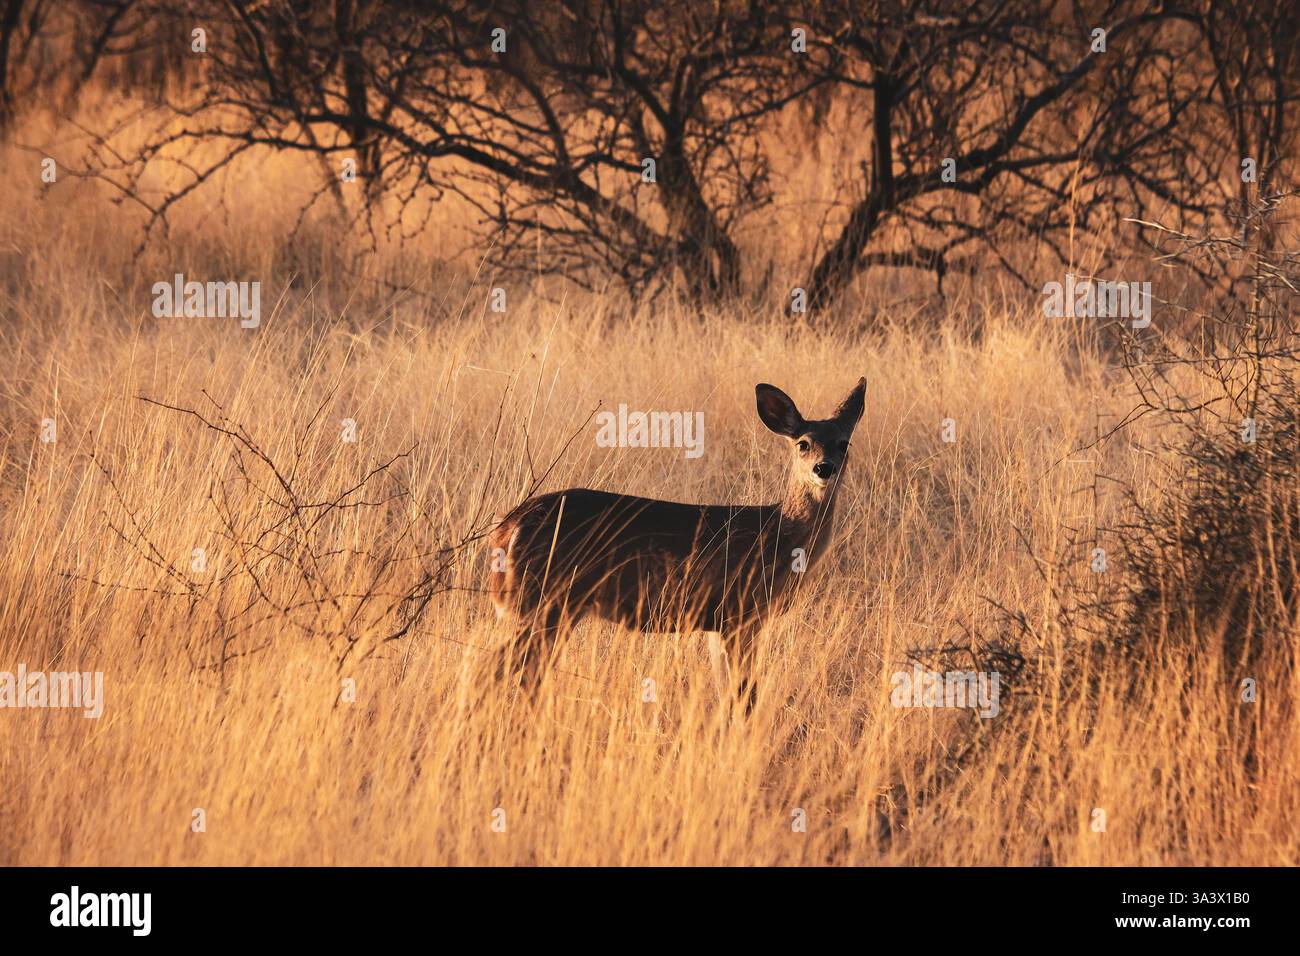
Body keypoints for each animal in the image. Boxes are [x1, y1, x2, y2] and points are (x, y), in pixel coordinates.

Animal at [487, 377, 866, 709]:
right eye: (803, 443)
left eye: (844, 443)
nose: (824, 468)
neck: (780, 534)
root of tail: (505, 529)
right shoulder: (739, 610)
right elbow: (746, 695)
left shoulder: (719, 623)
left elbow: (729, 692)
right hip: (545, 602)